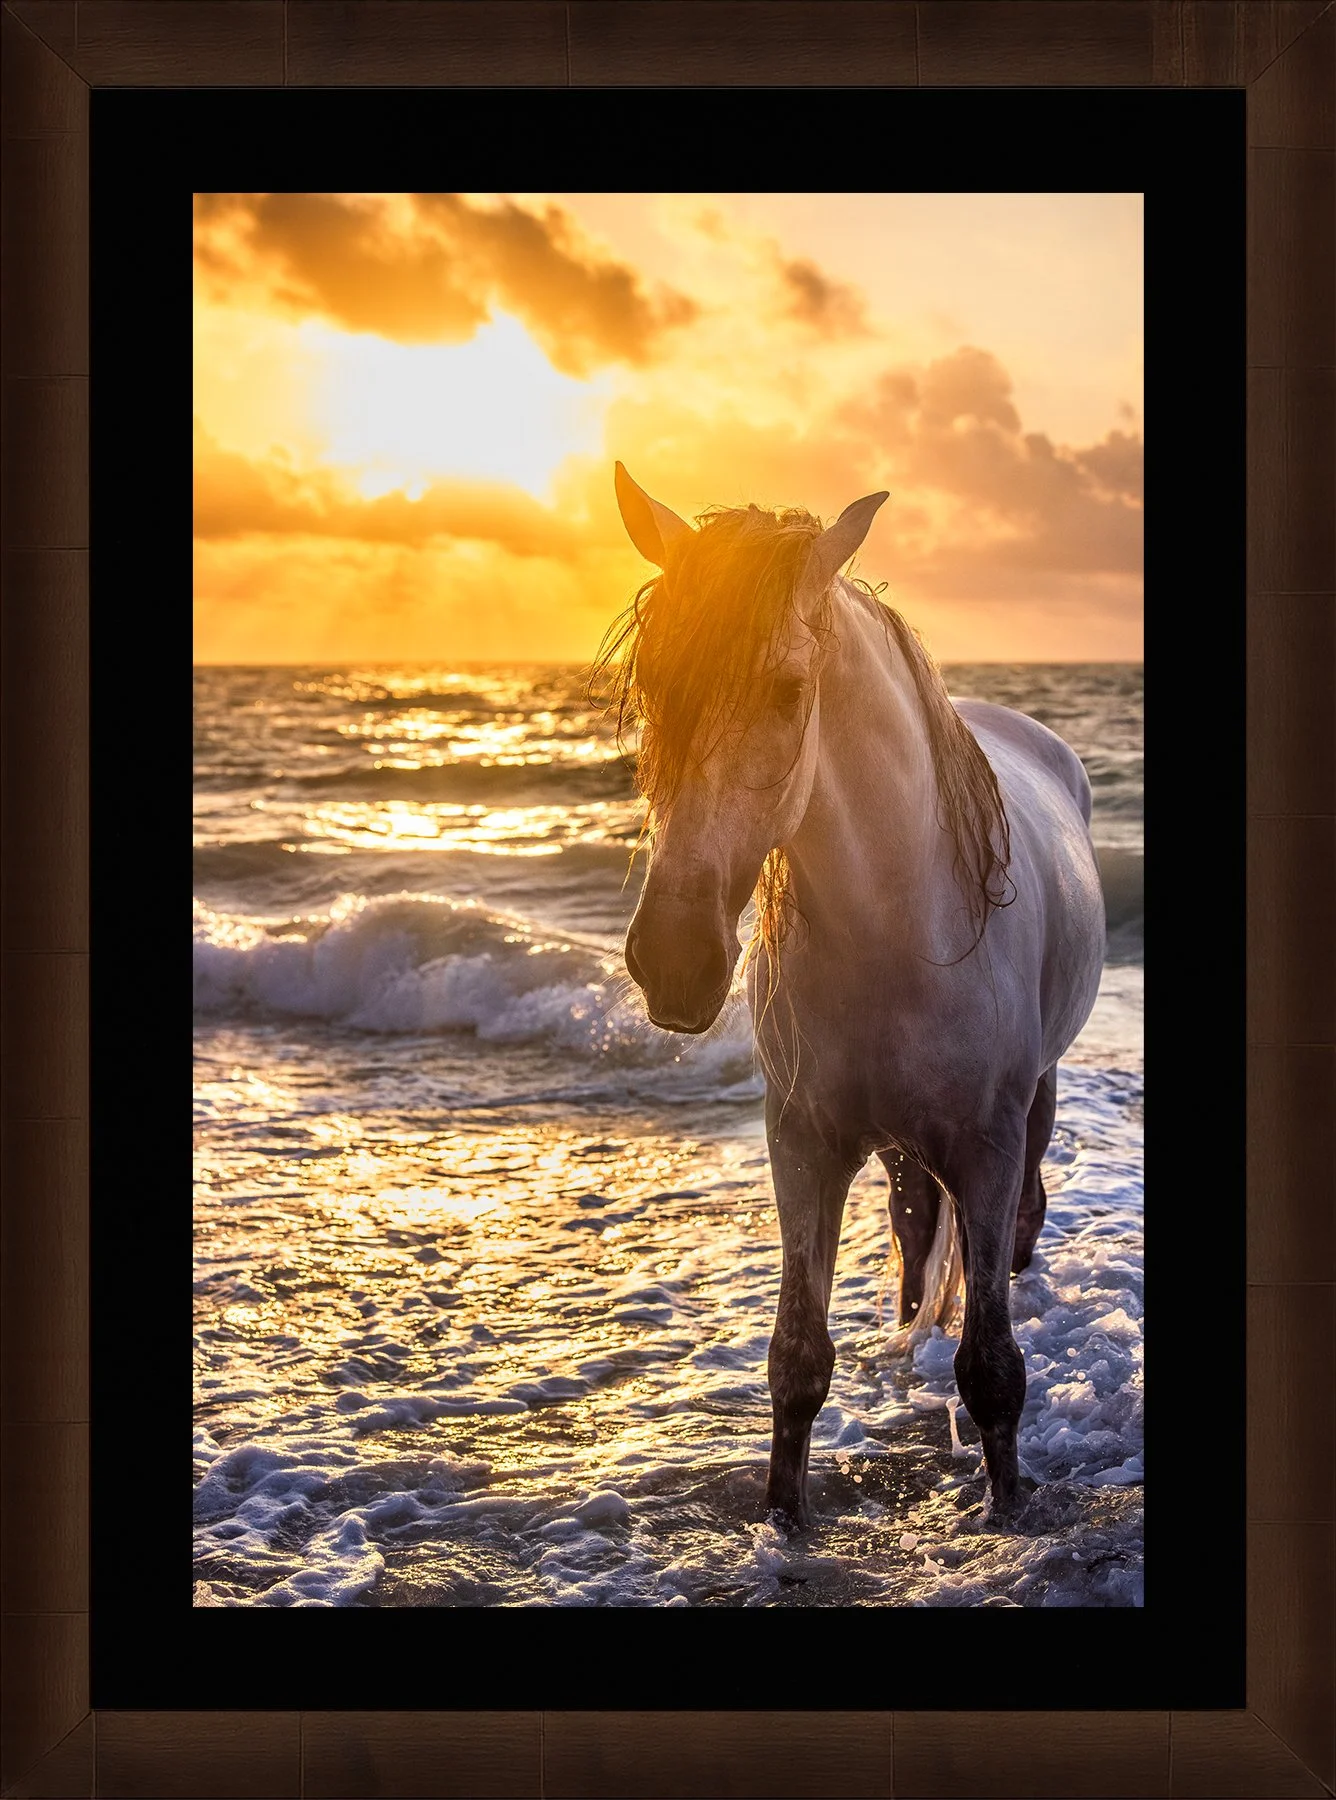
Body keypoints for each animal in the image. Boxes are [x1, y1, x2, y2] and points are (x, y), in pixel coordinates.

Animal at [598, 462, 1106, 1528]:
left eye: (791, 689)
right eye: (654, 685)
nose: (674, 960)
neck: (903, 931)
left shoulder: (986, 1147)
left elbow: (992, 1368)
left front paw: (1006, 1513)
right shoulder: (803, 1144)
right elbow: (797, 1359)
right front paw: (785, 1524)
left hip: (1034, 1103)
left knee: (1019, 1224)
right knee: (915, 1231)